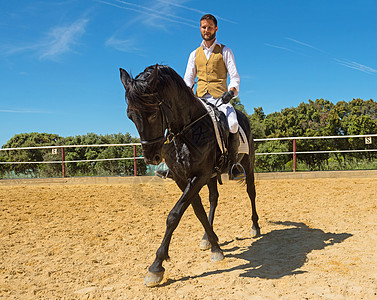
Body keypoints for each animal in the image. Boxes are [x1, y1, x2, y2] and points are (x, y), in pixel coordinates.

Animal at [119, 63, 258, 286]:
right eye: (130, 116)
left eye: (152, 114)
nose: (151, 157)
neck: (186, 130)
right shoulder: (182, 178)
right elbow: (197, 211)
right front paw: (215, 245)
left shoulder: (198, 176)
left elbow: (174, 215)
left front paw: (156, 266)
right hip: (211, 177)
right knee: (214, 199)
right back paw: (207, 238)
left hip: (248, 165)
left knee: (251, 193)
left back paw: (255, 227)